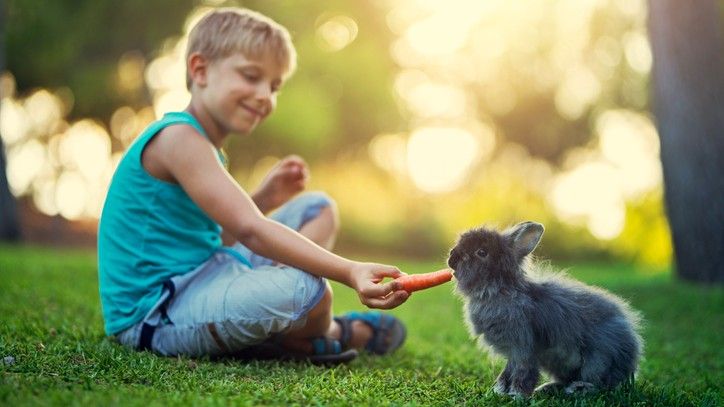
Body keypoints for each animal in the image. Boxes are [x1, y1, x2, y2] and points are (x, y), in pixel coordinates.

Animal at [446, 222, 644, 396]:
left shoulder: (523, 348)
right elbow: (507, 373)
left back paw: (578, 389)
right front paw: (498, 392)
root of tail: (631, 357)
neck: (499, 290)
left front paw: (516, 395)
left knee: (600, 384)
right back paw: (547, 388)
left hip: (598, 361)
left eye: (481, 252)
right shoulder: (512, 353)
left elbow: (522, 372)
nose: (451, 258)